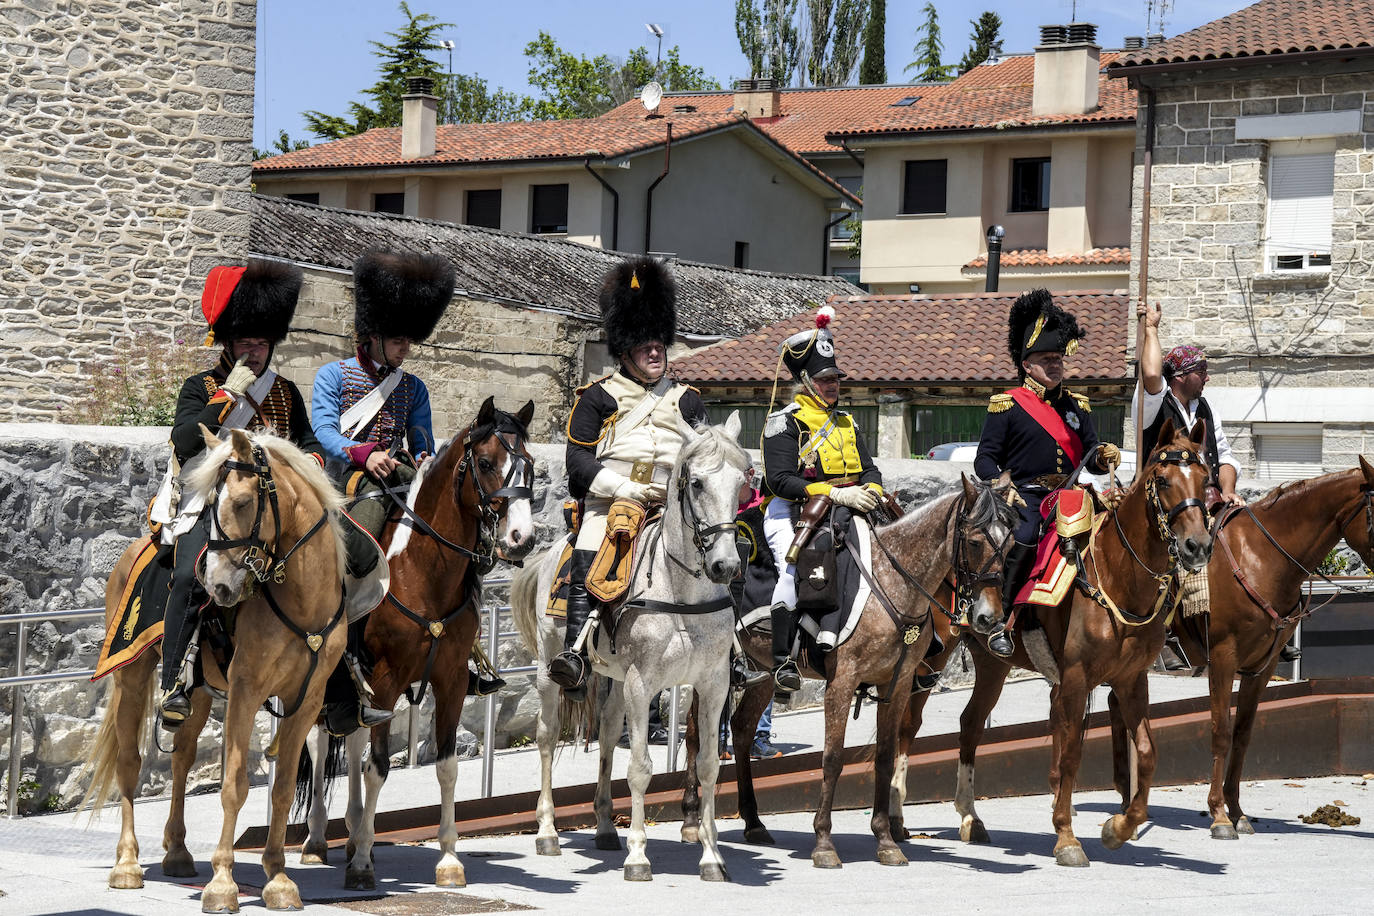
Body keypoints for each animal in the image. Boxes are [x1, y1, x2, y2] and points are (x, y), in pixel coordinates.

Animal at [300, 398, 535, 889]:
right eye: (486, 463)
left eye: (530, 465)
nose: (521, 539)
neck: (421, 571)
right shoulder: (386, 681)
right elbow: (378, 767)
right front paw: (363, 865)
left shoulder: (450, 682)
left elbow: (445, 766)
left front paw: (447, 858)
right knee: (317, 741)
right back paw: (316, 840)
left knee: (351, 739)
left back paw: (354, 831)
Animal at [513, 414, 752, 878]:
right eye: (697, 483)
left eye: (743, 481)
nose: (726, 565)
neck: (681, 594)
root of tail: (549, 554)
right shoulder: (644, 683)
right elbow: (640, 768)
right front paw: (639, 856)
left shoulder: (712, 685)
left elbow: (708, 766)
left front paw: (712, 857)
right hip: (551, 670)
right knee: (547, 738)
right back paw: (547, 831)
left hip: (618, 680)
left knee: (607, 736)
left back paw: (607, 827)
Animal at [681, 477, 1016, 873]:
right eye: (976, 541)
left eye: (1011, 544)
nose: (988, 618)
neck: (892, 581)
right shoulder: (841, 682)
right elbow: (833, 758)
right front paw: (824, 843)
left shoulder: (897, 684)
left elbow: (885, 756)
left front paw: (886, 840)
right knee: (695, 734)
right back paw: (691, 820)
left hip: (763, 672)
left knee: (743, 729)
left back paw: (753, 822)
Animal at [950, 420, 1209, 867]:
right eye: (1163, 480)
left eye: (1206, 479)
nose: (1198, 545)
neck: (1117, 578)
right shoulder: (1075, 678)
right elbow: (1071, 755)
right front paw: (1067, 838)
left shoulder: (1131, 681)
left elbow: (1147, 753)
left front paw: (1118, 828)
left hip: (995, 667)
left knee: (971, 724)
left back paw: (972, 818)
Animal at [1159, 455, 1374, 840]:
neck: (1262, 557)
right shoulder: (1223, 659)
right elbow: (1220, 732)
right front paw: (1218, 815)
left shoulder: (1262, 667)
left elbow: (1243, 735)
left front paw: (1237, 811)